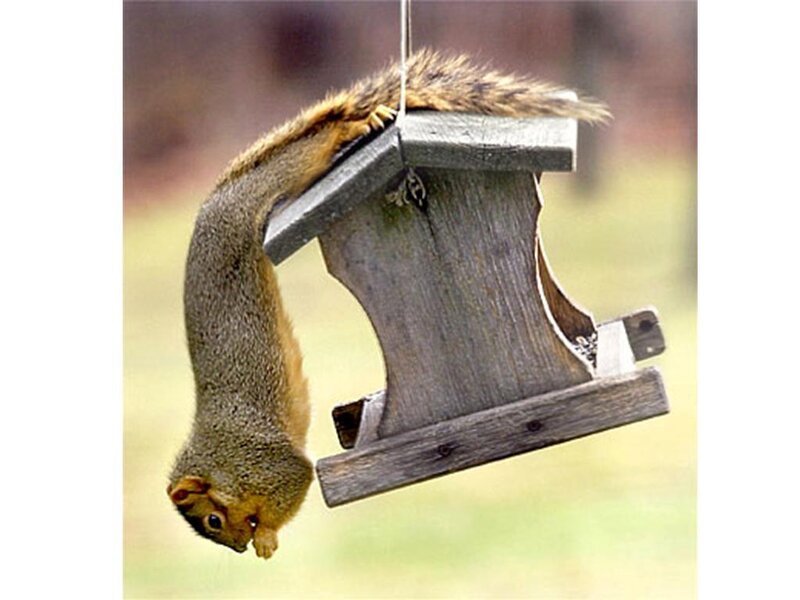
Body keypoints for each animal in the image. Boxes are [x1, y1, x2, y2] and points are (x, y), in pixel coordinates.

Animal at [167, 48, 609, 559]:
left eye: (213, 520)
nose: (237, 549)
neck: (220, 460)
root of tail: (214, 205)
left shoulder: (264, 460)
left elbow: (296, 478)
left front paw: (267, 537)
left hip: (274, 186)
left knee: (317, 143)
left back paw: (360, 123)